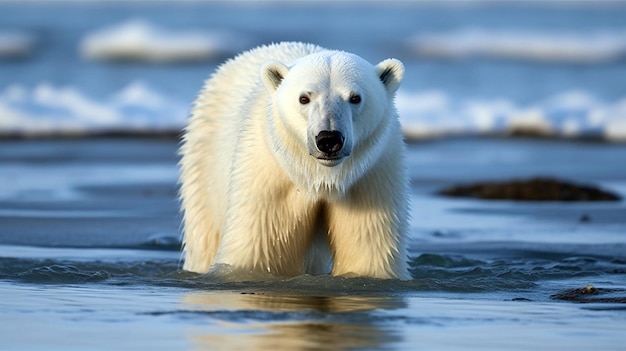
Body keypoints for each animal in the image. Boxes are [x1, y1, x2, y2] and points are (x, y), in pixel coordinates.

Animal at [177, 42, 410, 280]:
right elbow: (258, 250)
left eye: (355, 98)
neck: (322, 177)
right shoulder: (268, 179)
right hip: (204, 162)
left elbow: (369, 252)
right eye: (304, 98)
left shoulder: (371, 180)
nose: (329, 139)